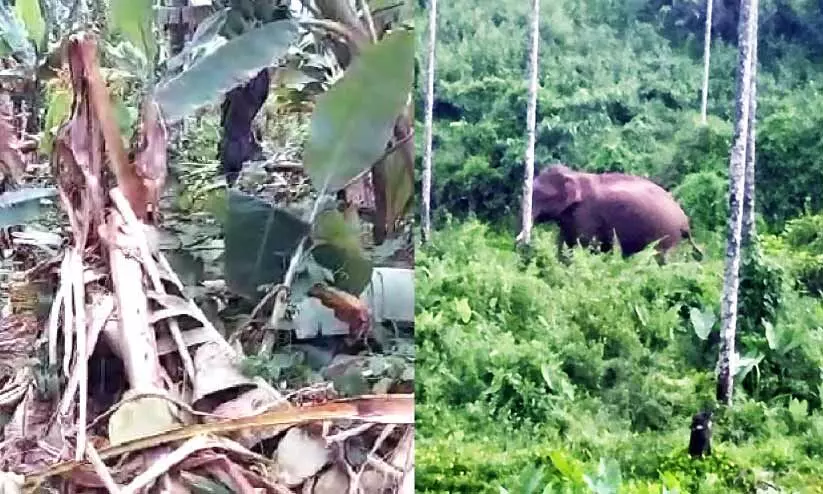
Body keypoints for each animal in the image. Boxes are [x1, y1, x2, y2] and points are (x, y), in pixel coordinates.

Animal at [517, 164, 703, 263]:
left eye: (540, 195)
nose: (522, 245)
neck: (575, 175)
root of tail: (684, 220)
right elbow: (564, 243)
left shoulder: (587, 213)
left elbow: (584, 244)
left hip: (666, 235)